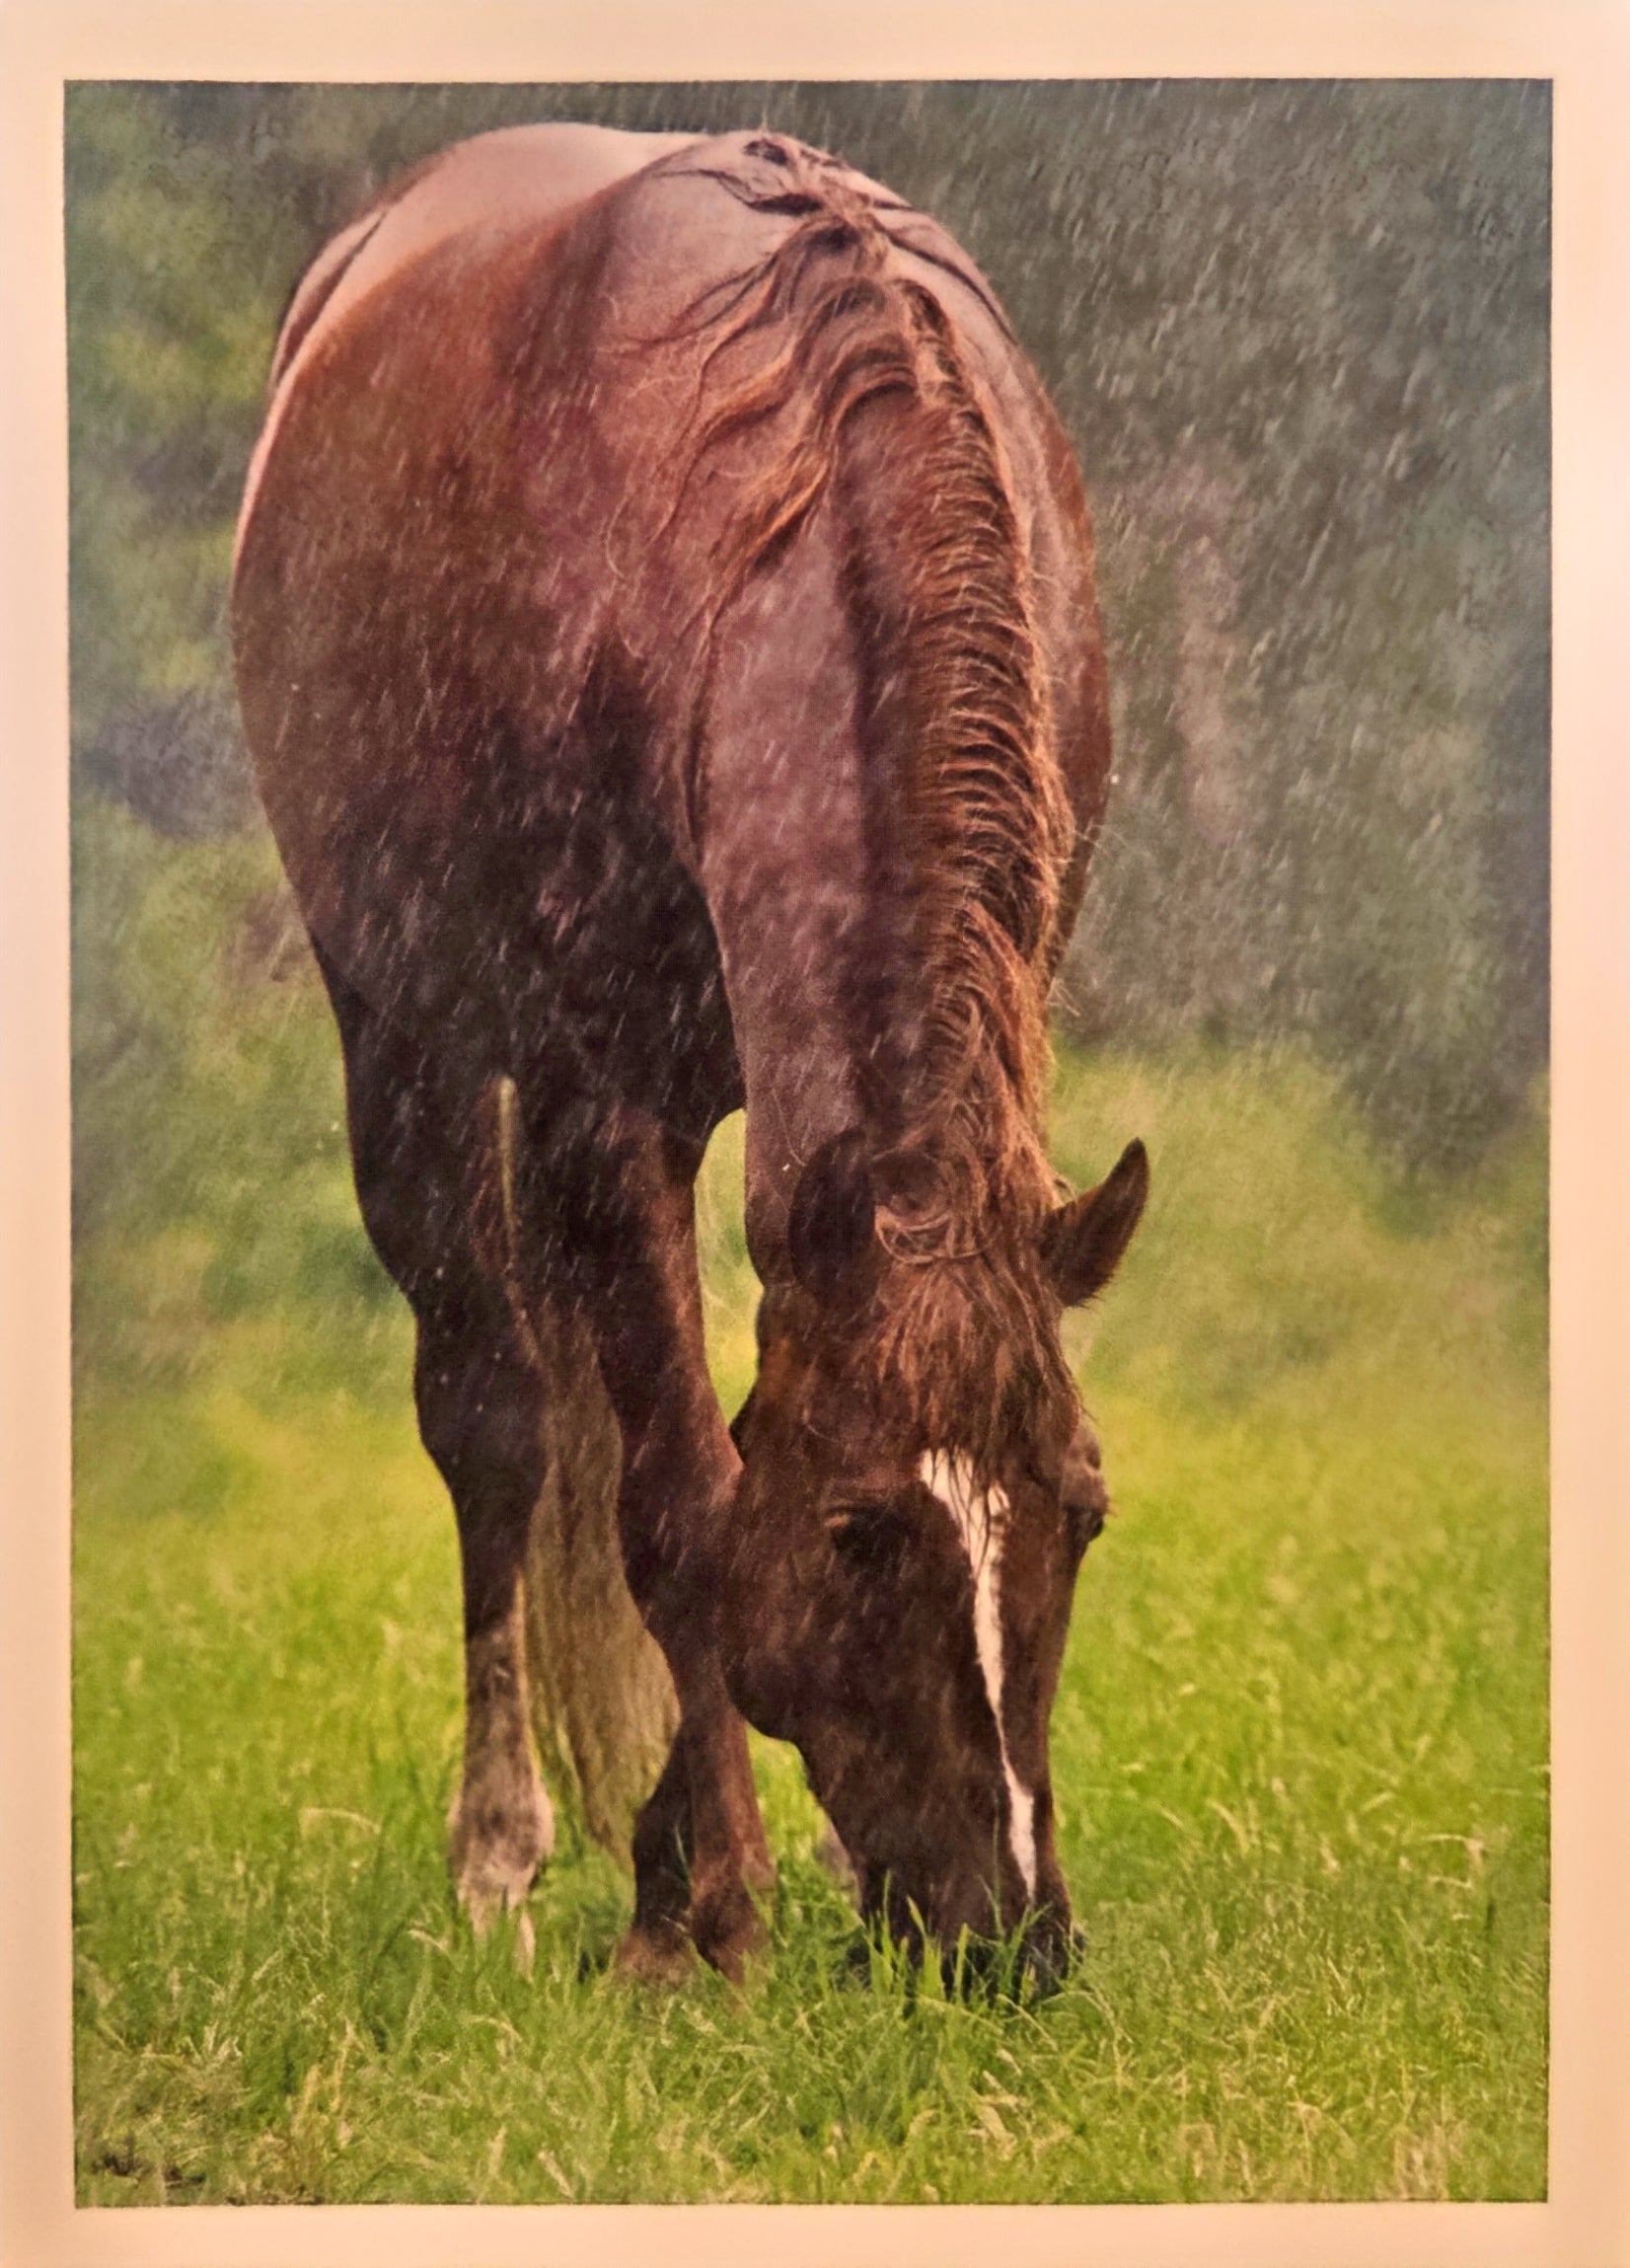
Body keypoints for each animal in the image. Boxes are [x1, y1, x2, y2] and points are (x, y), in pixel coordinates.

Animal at [233, 122, 1149, 1986]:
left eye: (1081, 1508)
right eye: (865, 1529)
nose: (1007, 1940)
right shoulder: (608, 1106)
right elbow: (676, 1504)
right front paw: (700, 1910)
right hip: (408, 1056)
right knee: (495, 1419)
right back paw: (502, 1856)